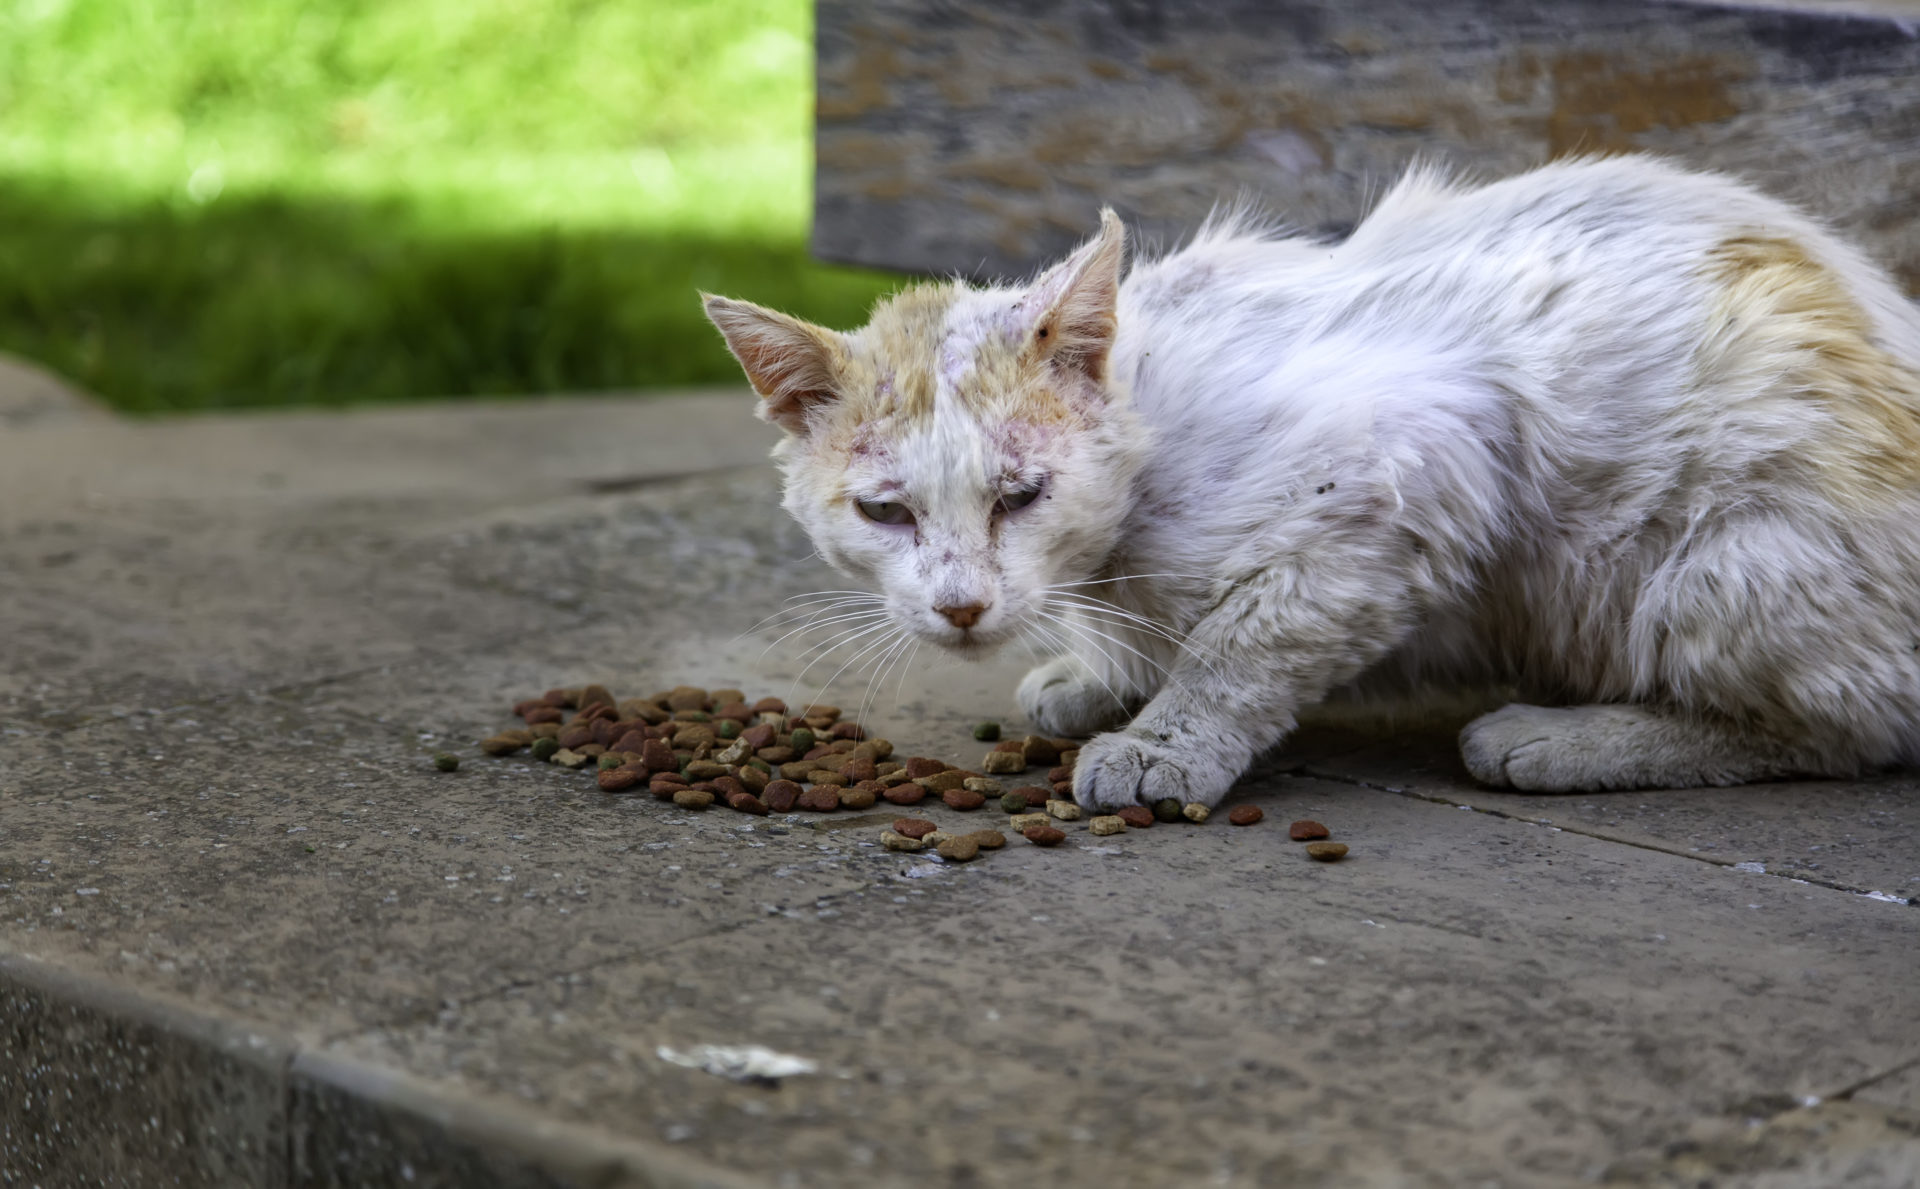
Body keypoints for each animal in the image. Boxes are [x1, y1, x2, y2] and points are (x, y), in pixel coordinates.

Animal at [702, 155, 1920, 810]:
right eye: (885, 511)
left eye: (1020, 496)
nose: (961, 606)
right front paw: (1097, 676)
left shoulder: (1412, 469)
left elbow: (1239, 647)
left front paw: (1164, 741)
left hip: (1728, 563)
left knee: (1852, 725)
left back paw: (1567, 737)